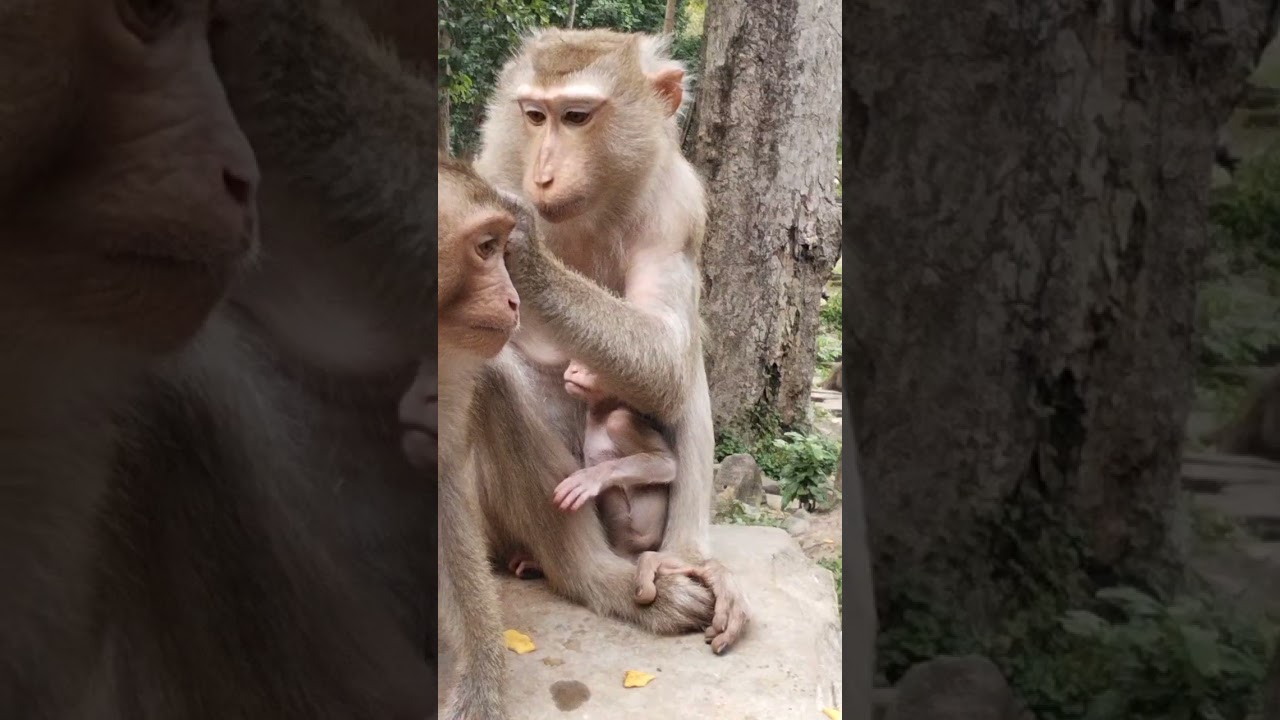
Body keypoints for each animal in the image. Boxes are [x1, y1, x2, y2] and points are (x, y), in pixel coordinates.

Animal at [471, 29, 749, 653]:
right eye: (534, 115)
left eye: (576, 117)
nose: (543, 175)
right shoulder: (494, 162)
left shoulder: (677, 204)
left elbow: (669, 357)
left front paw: (523, 248)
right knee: (490, 378)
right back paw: (593, 576)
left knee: (679, 366)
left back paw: (681, 563)